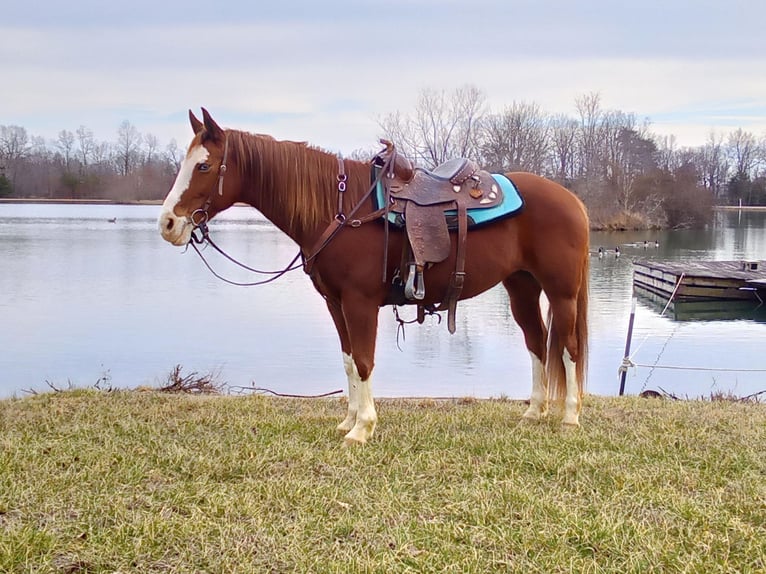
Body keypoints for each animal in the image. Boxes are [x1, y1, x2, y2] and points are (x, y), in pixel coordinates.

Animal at [158, 110, 592, 448]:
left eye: (203, 166)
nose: (167, 224)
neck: (340, 210)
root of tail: (573, 200)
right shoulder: (335, 303)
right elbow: (350, 361)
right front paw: (348, 421)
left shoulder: (359, 302)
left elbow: (365, 361)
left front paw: (363, 429)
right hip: (521, 287)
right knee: (537, 343)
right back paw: (534, 412)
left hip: (561, 292)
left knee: (569, 348)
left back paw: (570, 417)